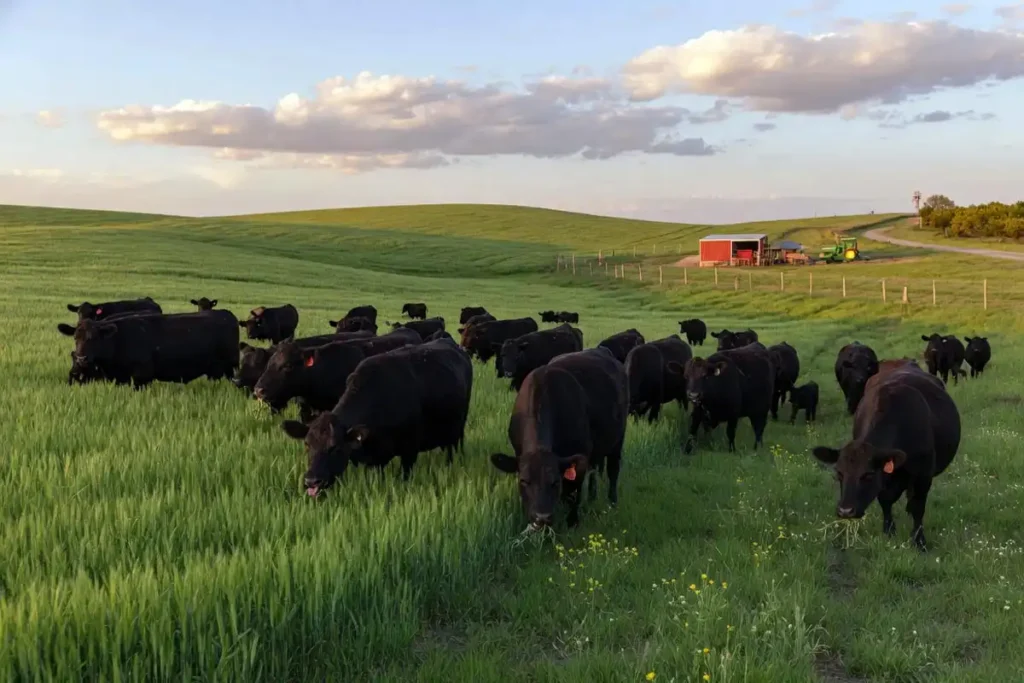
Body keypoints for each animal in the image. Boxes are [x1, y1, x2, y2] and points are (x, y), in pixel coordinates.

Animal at [58, 310, 240, 388]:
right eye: (75, 338)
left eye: (94, 338)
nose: (81, 358)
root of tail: (227, 314)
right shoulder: (120, 378)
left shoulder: (142, 375)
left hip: (231, 367)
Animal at [281, 339, 474, 496]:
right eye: (307, 444)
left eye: (335, 447)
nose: (312, 481)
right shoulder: (374, 459)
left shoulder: (410, 450)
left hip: (458, 430)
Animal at [490, 347, 628, 529]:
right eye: (524, 481)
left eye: (555, 482)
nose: (542, 517)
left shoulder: (579, 455)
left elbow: (574, 492)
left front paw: (572, 521)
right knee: (594, 470)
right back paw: (592, 497)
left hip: (618, 440)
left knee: (613, 470)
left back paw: (612, 502)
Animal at [812, 363, 961, 551]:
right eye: (839, 473)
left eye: (868, 474)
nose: (845, 511)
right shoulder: (885, 480)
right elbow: (885, 501)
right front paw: (889, 531)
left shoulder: (923, 475)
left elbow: (918, 507)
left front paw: (919, 541)